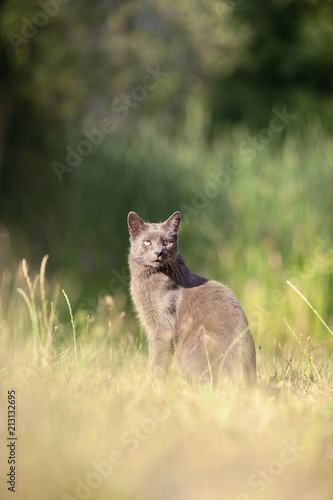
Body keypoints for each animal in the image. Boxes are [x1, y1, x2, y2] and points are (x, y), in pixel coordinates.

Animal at [127, 209, 256, 384]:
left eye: (166, 242)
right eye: (147, 242)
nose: (159, 252)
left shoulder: (162, 329)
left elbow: (157, 361)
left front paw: (152, 385)